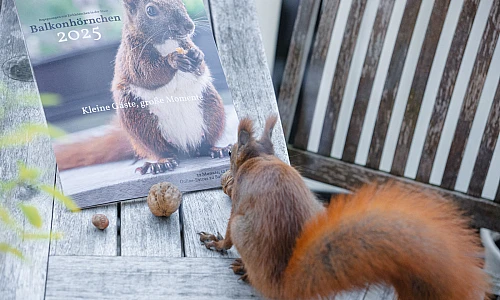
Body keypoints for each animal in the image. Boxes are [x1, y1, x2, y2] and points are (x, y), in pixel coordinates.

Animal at [54, 0, 227, 175]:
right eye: (150, 10)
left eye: (182, 3)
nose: (189, 26)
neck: (166, 42)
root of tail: (185, 146)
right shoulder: (133, 58)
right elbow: (148, 74)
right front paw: (172, 60)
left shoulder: (185, 44)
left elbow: (201, 67)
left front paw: (197, 55)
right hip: (140, 122)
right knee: (161, 150)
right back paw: (161, 162)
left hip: (212, 109)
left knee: (203, 145)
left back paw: (215, 149)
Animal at [197, 115, 490, 300]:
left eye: (232, 152)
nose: (227, 153)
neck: (260, 160)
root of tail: (283, 283)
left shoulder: (238, 203)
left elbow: (227, 235)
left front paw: (216, 241)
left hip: (244, 229)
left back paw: (244, 269)